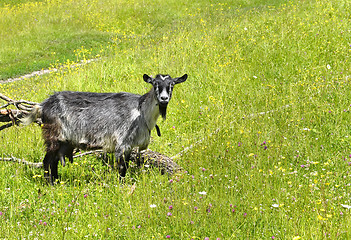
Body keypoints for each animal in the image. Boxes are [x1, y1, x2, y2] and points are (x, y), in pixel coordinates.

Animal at [22, 73, 188, 184]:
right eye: (155, 84)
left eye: (172, 85)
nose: (164, 99)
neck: (141, 111)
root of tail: (43, 106)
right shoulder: (122, 142)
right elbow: (122, 168)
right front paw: (122, 186)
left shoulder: (131, 145)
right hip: (53, 136)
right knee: (47, 161)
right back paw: (49, 184)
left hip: (64, 142)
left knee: (55, 161)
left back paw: (57, 182)